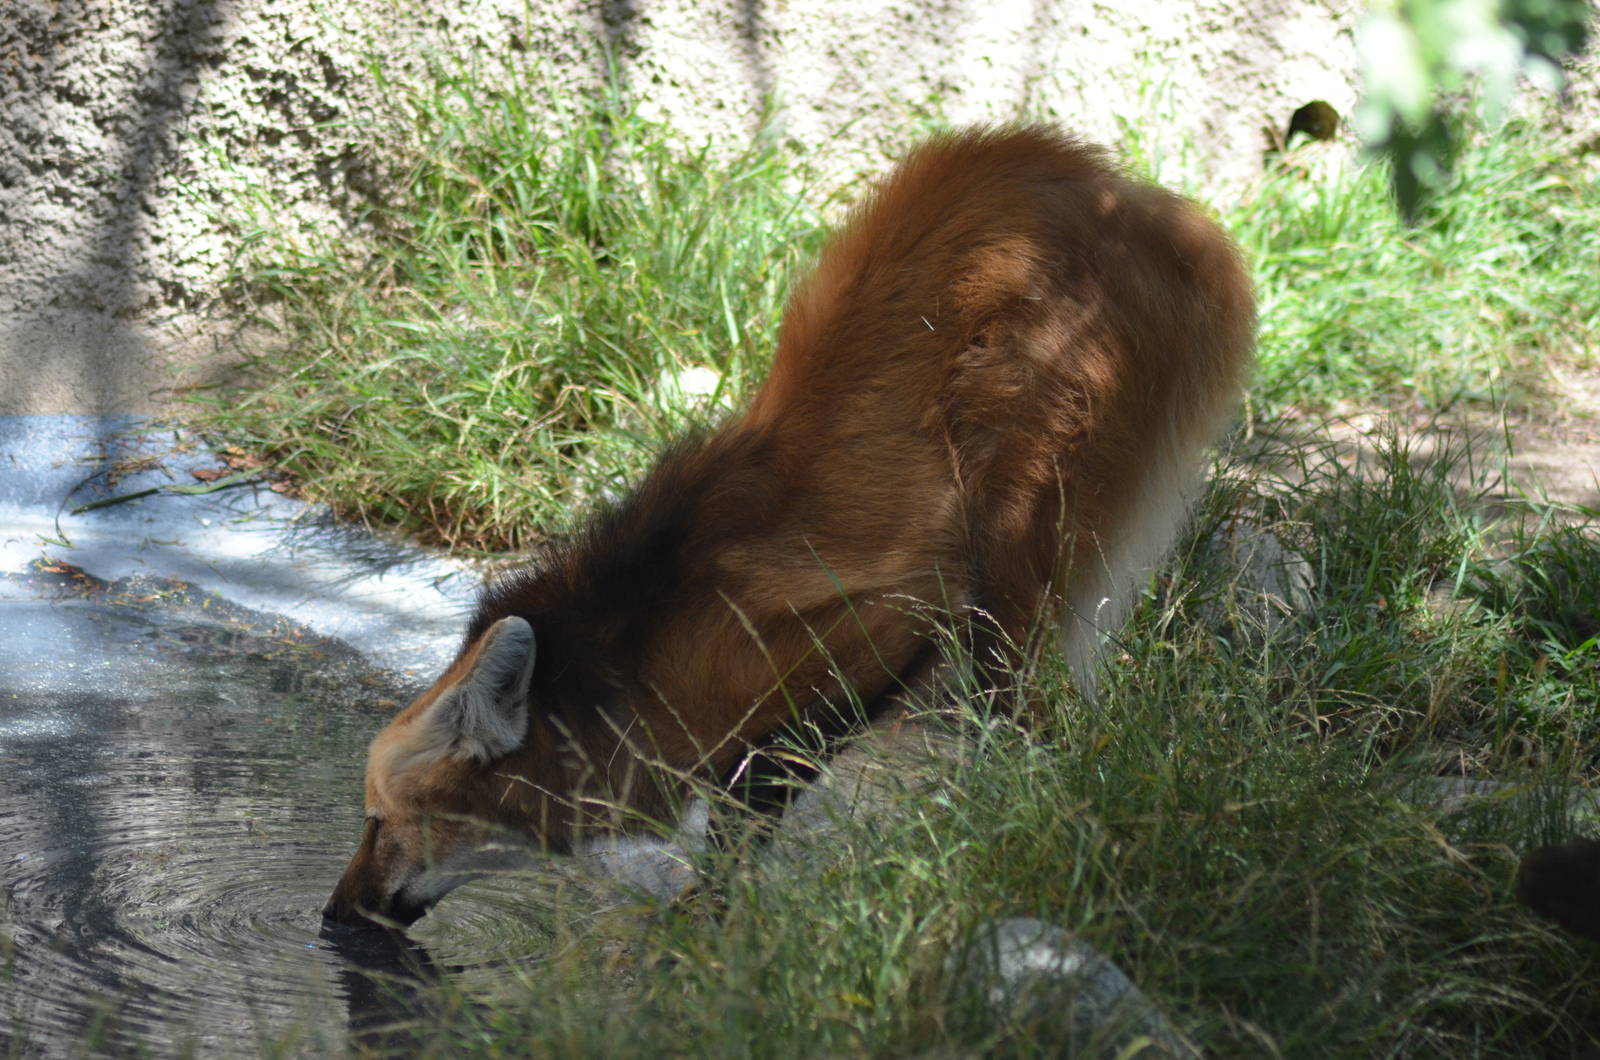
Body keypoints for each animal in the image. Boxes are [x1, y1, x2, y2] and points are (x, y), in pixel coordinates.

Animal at [323, 126, 1255, 928]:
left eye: (377, 821)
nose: (333, 911)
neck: (638, 651)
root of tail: (1162, 216)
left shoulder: (881, 621)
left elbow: (760, 783)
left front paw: (712, 927)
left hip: (1017, 518)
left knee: (1018, 698)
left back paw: (997, 847)